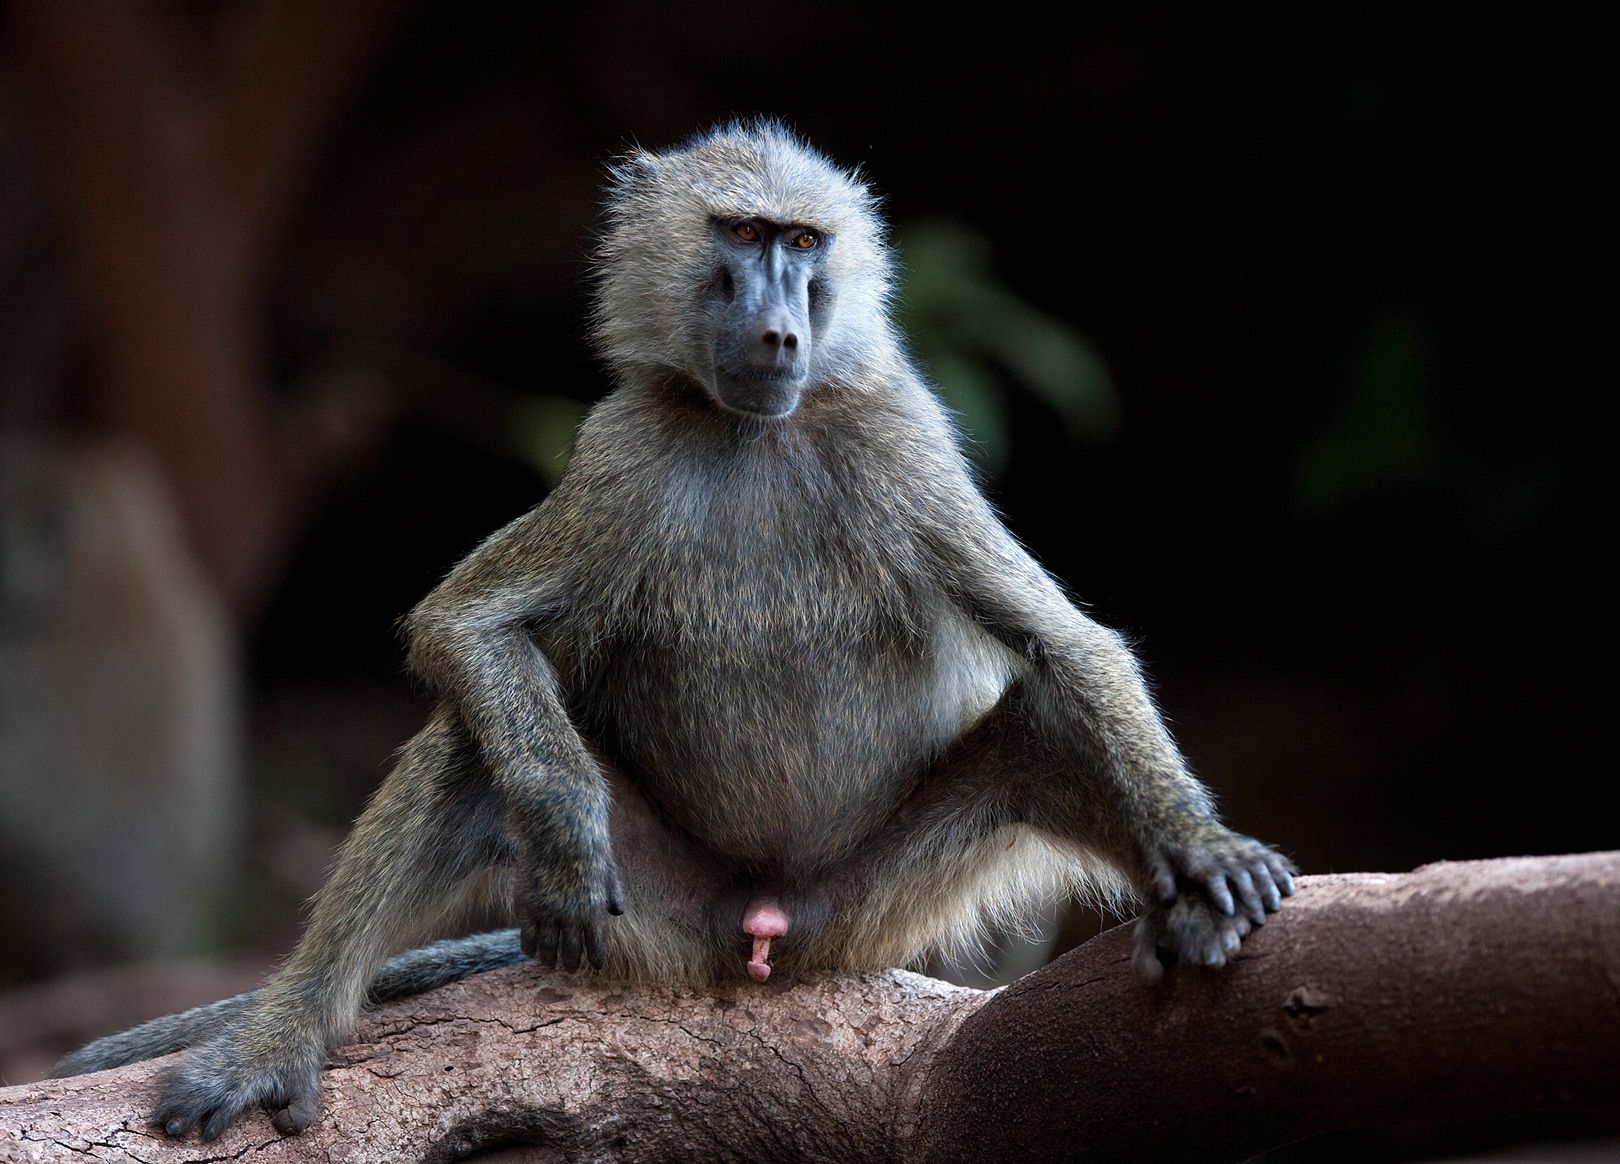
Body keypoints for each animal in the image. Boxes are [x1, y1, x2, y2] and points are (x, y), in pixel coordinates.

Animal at [50, 121, 1295, 1141]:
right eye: (738, 234)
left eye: (803, 241)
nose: (780, 331)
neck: (758, 432)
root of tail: (764, 922)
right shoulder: (623, 450)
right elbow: (468, 628)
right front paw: (563, 833)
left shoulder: (907, 444)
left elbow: (1067, 647)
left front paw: (1205, 849)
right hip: (666, 911)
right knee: (467, 743)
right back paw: (280, 1040)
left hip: (880, 902)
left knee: (1048, 717)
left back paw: (1186, 919)